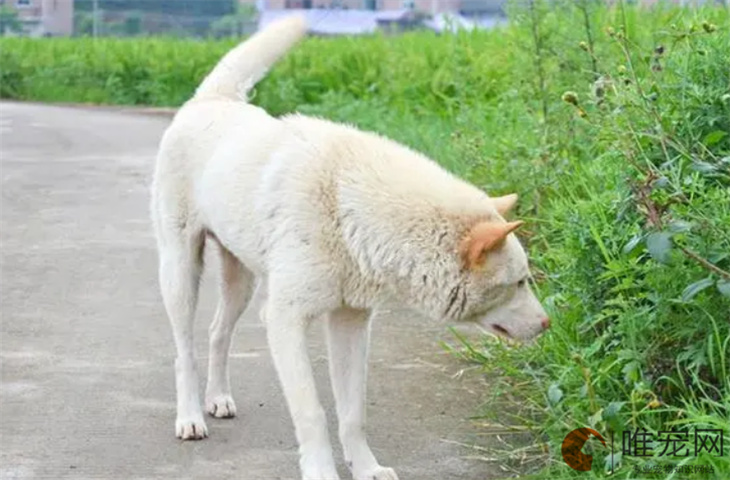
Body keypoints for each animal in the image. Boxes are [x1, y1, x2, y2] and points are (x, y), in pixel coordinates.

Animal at [149, 16, 544, 480]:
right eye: (519, 283)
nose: (548, 324)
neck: (348, 204)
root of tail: (212, 99)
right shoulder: (284, 320)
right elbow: (314, 413)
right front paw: (322, 470)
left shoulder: (351, 321)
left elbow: (353, 413)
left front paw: (368, 467)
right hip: (180, 272)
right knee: (184, 350)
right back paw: (191, 416)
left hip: (241, 281)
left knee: (216, 333)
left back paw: (218, 399)